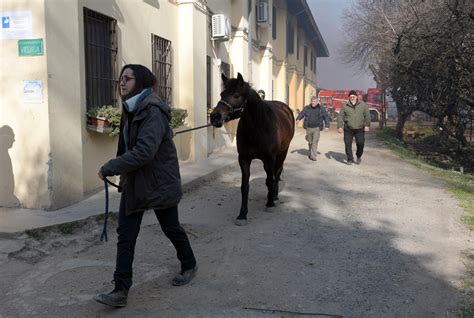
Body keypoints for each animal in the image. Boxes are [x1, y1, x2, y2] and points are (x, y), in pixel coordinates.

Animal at [210, 73, 294, 225]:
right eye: (222, 94)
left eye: (236, 95)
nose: (214, 117)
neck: (257, 128)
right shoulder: (244, 159)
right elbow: (245, 187)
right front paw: (242, 214)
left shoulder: (270, 158)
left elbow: (270, 180)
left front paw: (270, 204)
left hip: (282, 153)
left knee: (277, 172)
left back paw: (274, 196)